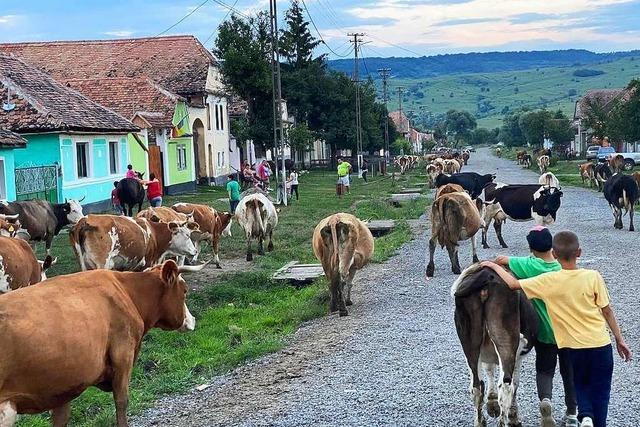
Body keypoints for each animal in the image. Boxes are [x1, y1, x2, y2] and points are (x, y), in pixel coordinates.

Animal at [0, 260, 198, 426]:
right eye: (185, 290)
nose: (193, 320)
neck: (127, 292)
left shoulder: (63, 386)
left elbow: (61, 418)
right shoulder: (123, 356)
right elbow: (122, 401)